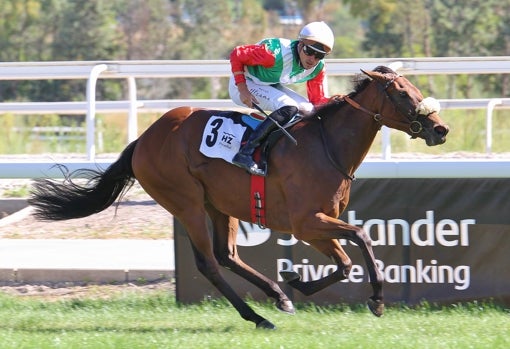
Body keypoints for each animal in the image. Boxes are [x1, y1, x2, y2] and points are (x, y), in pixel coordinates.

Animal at [29, 66, 448, 328]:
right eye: (401, 92)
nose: (440, 129)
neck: (325, 145)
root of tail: (144, 139)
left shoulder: (317, 224)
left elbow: (345, 263)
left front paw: (297, 282)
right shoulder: (307, 222)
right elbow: (360, 237)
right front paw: (376, 300)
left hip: (218, 205)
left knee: (227, 254)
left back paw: (278, 296)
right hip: (186, 202)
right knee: (209, 263)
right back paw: (258, 317)